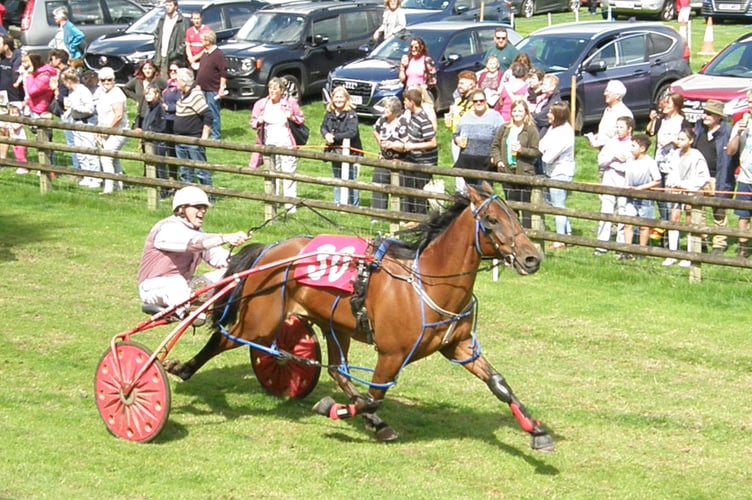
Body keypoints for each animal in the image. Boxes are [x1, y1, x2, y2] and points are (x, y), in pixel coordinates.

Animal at [164, 182, 552, 452]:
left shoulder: (458, 345)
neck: (426, 283)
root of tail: (271, 249)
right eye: (492, 220)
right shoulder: (392, 354)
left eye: (516, 216)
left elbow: (498, 383)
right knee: (224, 337)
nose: (532, 258)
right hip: (262, 321)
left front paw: (538, 431)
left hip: (334, 325)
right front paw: (335, 410)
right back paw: (182, 368)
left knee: (336, 369)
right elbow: (374, 395)